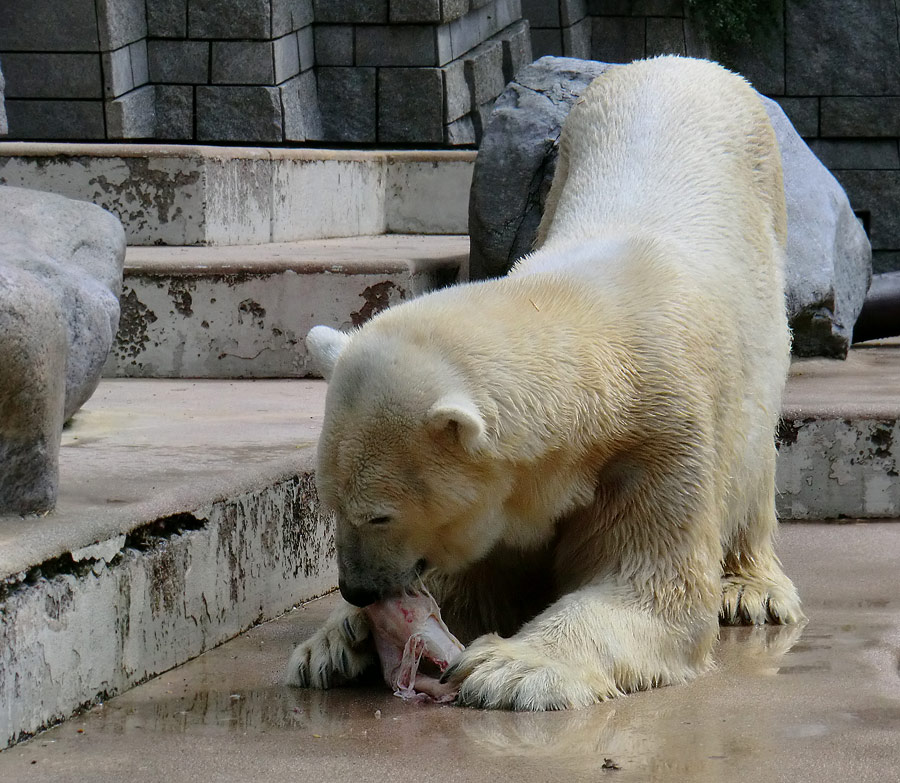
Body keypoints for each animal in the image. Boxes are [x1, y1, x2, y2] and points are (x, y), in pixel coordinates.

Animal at [286, 56, 800, 712]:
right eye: (330, 504)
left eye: (379, 515)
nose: (357, 589)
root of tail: (680, 63)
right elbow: (471, 580)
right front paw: (334, 644)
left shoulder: (659, 438)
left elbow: (649, 587)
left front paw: (510, 668)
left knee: (754, 460)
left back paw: (751, 589)